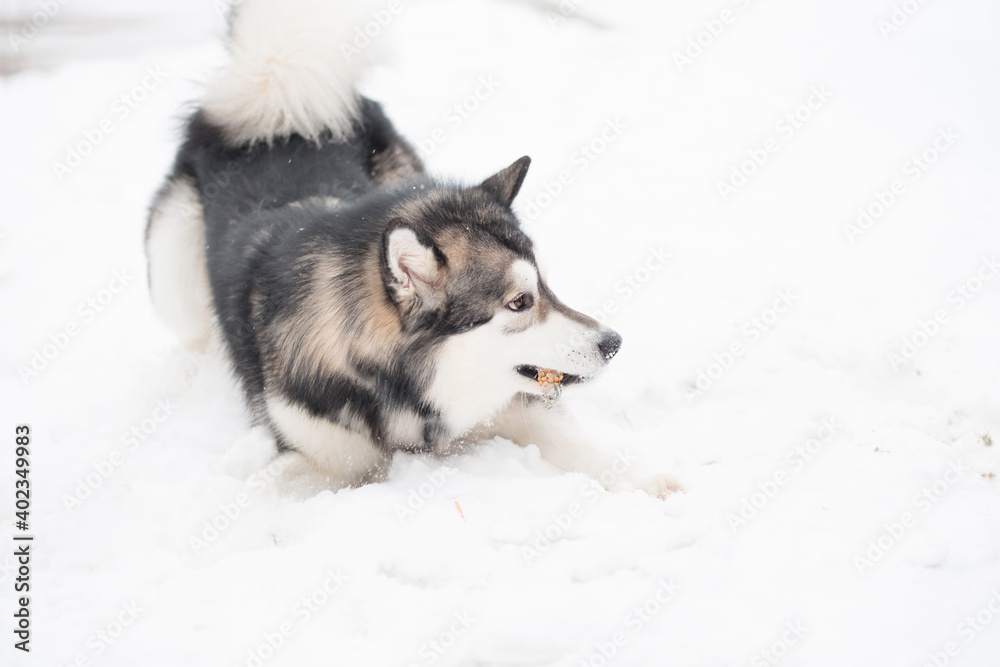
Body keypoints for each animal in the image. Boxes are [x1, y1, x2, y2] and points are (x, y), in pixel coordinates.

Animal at [145, 0, 676, 496]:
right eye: (519, 302)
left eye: (547, 285)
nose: (613, 342)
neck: (405, 389)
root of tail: (270, 113)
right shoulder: (324, 454)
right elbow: (256, 492)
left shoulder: (512, 404)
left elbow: (581, 445)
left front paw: (652, 481)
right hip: (173, 276)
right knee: (193, 329)